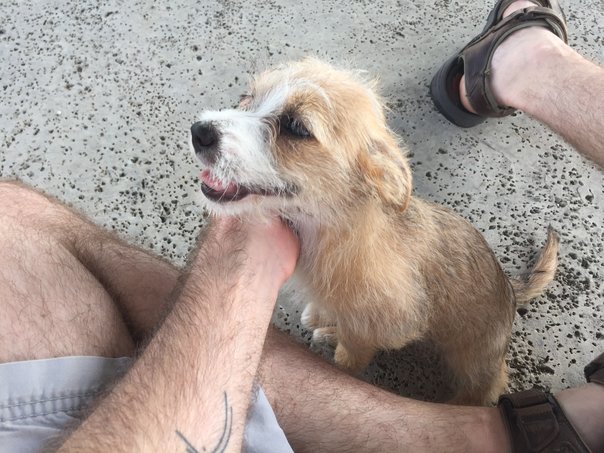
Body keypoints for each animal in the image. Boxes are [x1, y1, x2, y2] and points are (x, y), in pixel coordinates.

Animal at [190, 58, 559, 405]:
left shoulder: (393, 324)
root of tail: (510, 288)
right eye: (247, 98)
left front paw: (338, 354)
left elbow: (351, 352)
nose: (199, 131)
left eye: (296, 127)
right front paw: (324, 319)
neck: (328, 229)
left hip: (474, 364)